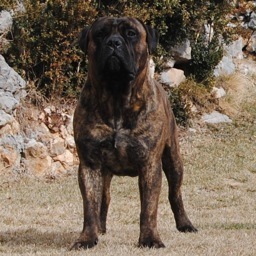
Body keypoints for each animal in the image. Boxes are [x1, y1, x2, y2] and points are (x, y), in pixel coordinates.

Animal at [72, 17, 198, 249]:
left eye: (131, 33)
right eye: (100, 34)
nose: (114, 42)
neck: (116, 98)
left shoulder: (149, 165)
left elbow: (148, 208)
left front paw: (150, 239)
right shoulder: (90, 165)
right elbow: (90, 206)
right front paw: (87, 238)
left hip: (173, 160)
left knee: (175, 194)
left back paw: (185, 224)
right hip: (104, 173)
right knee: (104, 197)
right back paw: (100, 229)